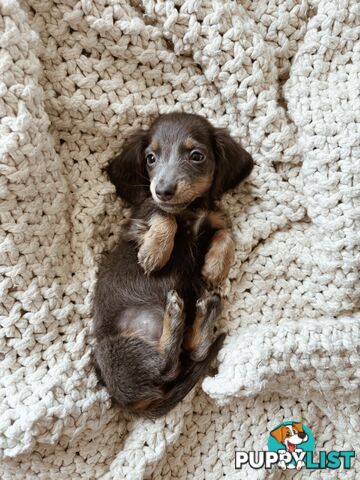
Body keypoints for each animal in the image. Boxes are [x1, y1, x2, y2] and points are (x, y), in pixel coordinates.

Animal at [93, 113, 253, 416]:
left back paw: (205, 308)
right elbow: (163, 216)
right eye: (150, 158)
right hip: (115, 349)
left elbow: (226, 232)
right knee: (169, 364)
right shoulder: (139, 219)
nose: (163, 190)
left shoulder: (214, 219)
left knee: (188, 353)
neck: (190, 209)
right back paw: (177, 313)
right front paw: (155, 252)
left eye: (197, 155)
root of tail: (130, 403)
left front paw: (214, 268)